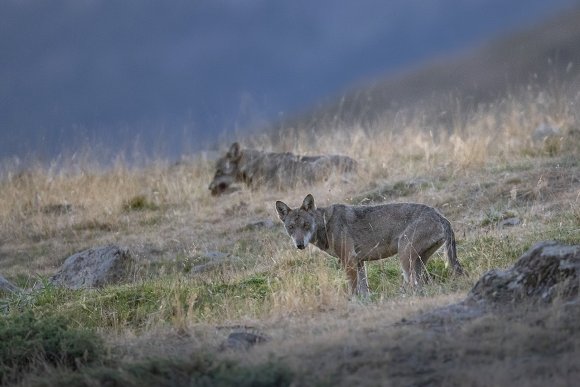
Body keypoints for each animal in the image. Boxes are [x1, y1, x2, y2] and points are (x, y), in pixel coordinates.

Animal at [276, 192, 462, 296]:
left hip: (404, 256)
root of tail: (441, 216)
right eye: (291, 227)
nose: (300, 245)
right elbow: (364, 288)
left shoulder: (349, 260)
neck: (325, 224)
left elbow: (353, 288)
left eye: (305, 225)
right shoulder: (358, 262)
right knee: (420, 283)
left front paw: (353, 302)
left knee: (413, 284)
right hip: (417, 262)